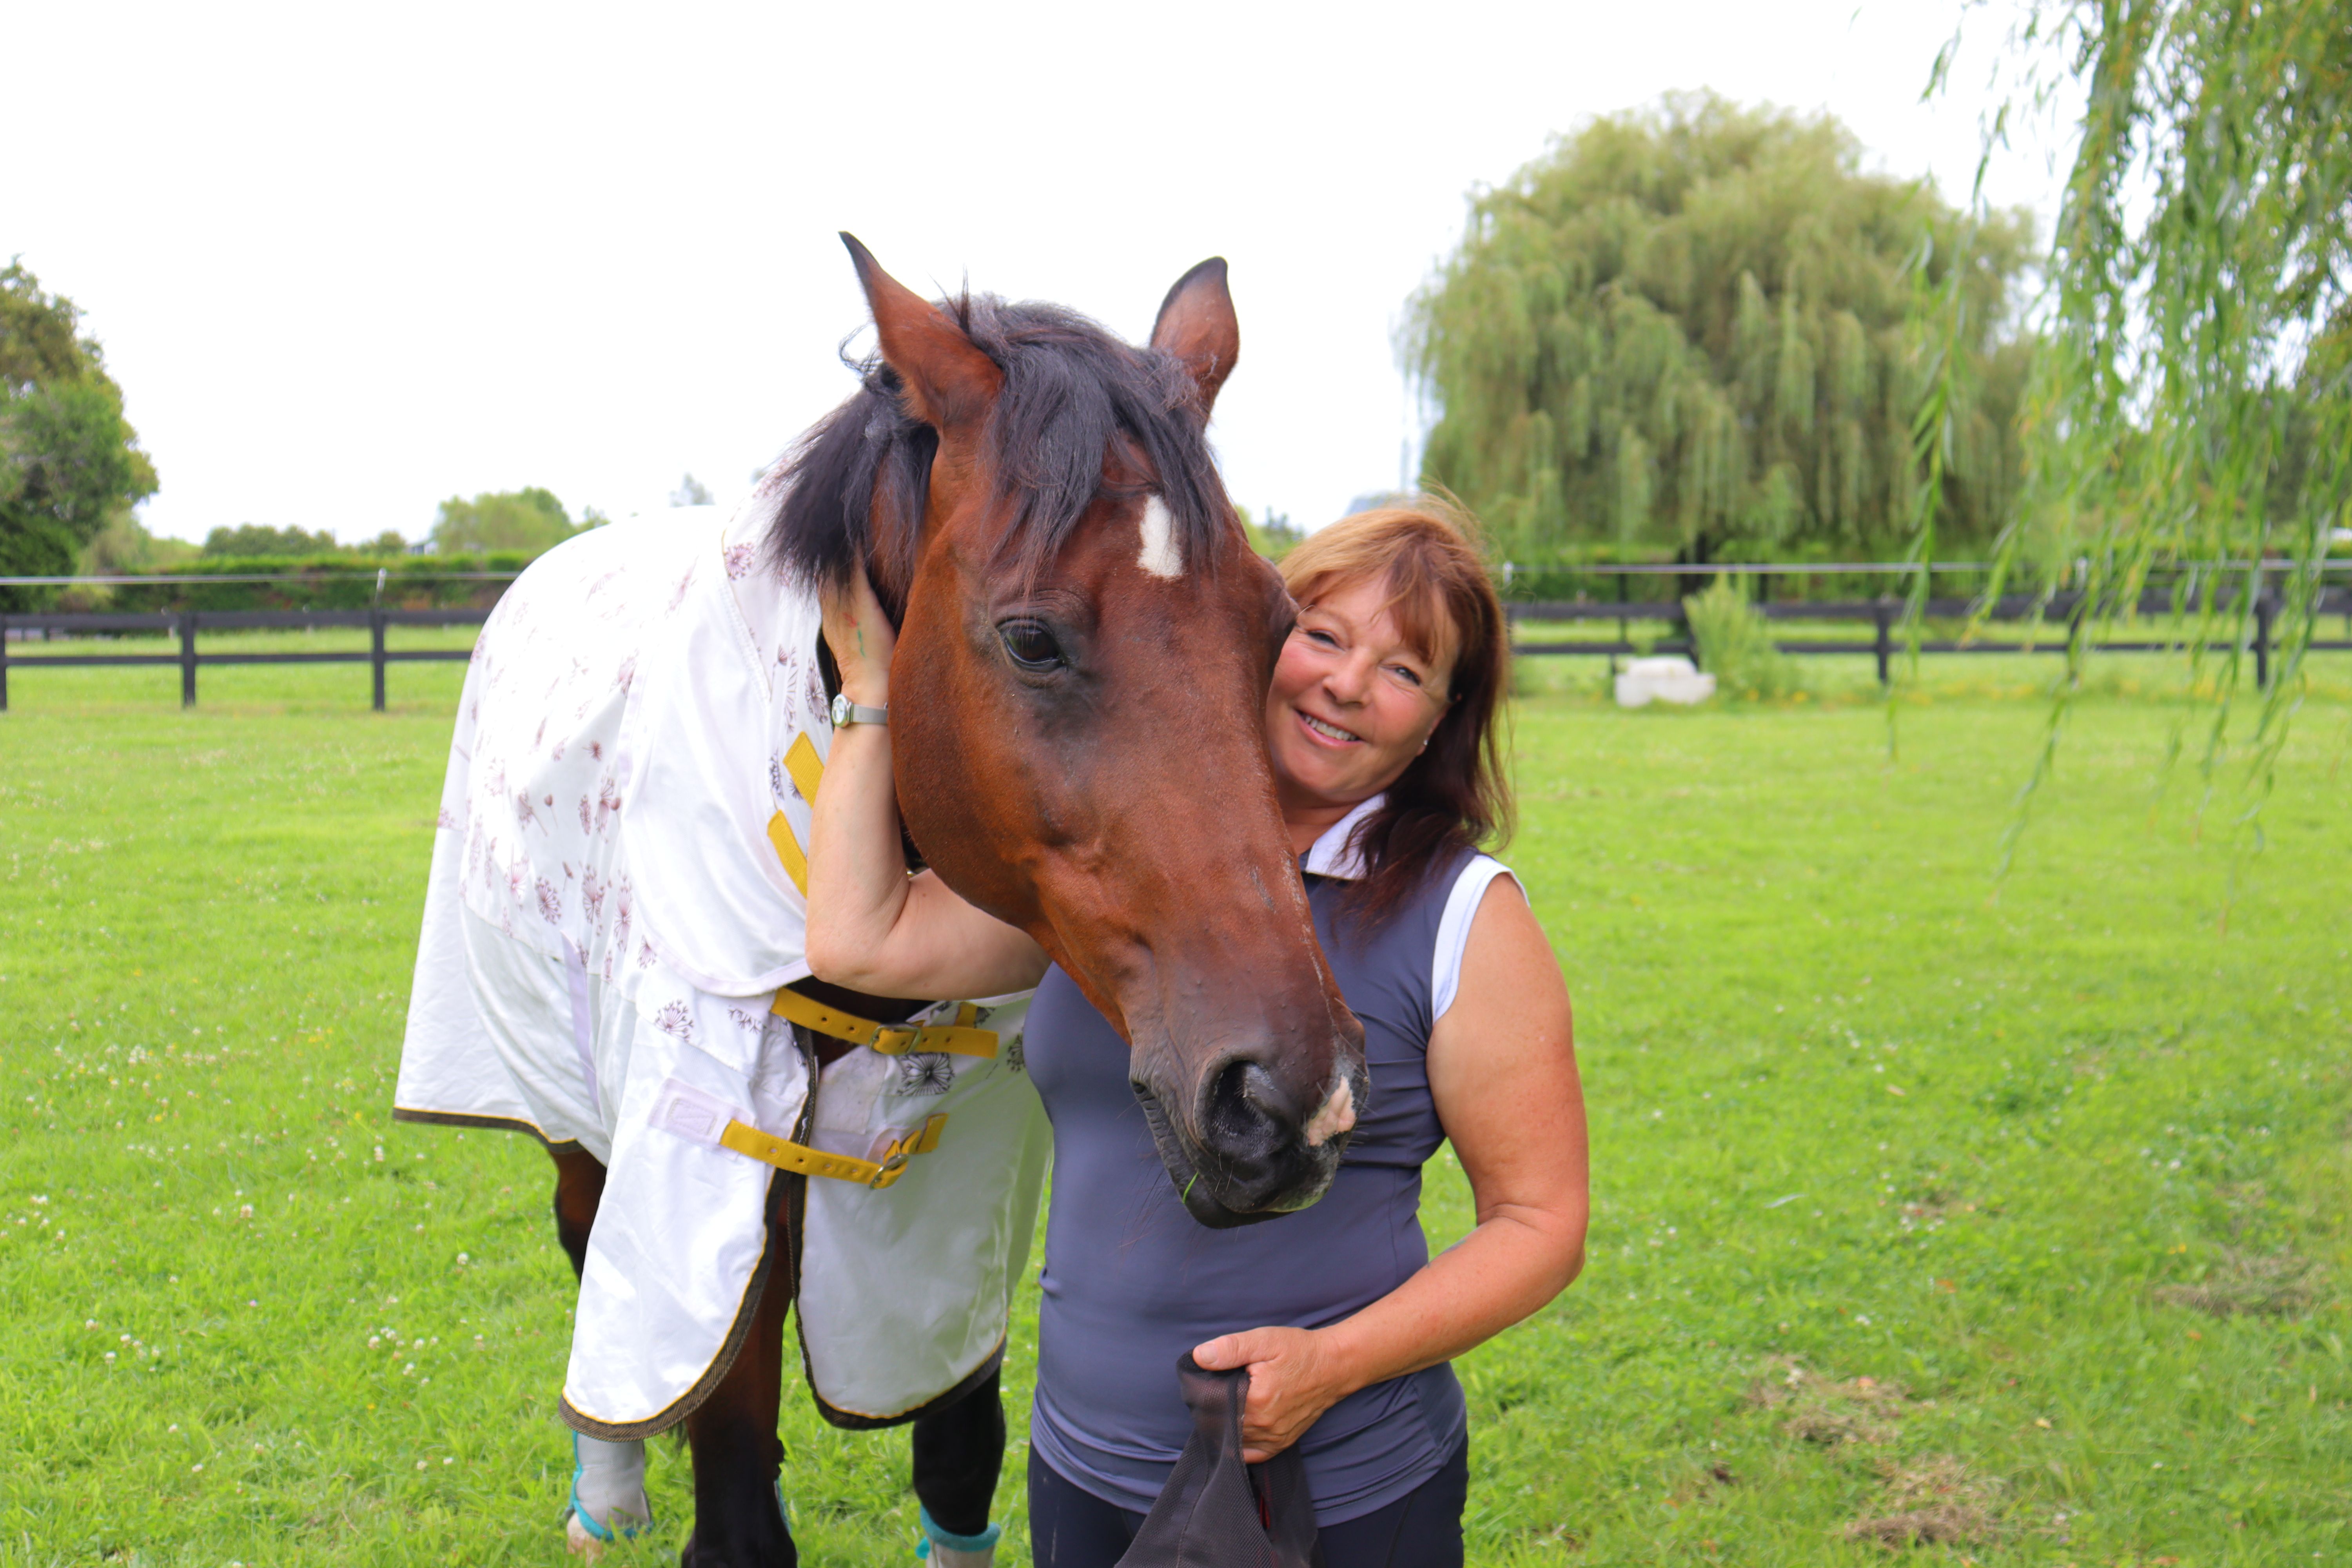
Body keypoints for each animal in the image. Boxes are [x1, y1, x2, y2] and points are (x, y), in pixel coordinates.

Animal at [393, 236, 1369, 1567]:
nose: (1283, 1096)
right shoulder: (705, 1171)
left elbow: (956, 1448)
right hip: (564, 1103)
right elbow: (733, 1491)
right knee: (588, 1246)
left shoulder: (957, 1196)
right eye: (1031, 637)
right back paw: (610, 1492)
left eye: (1278, 627)